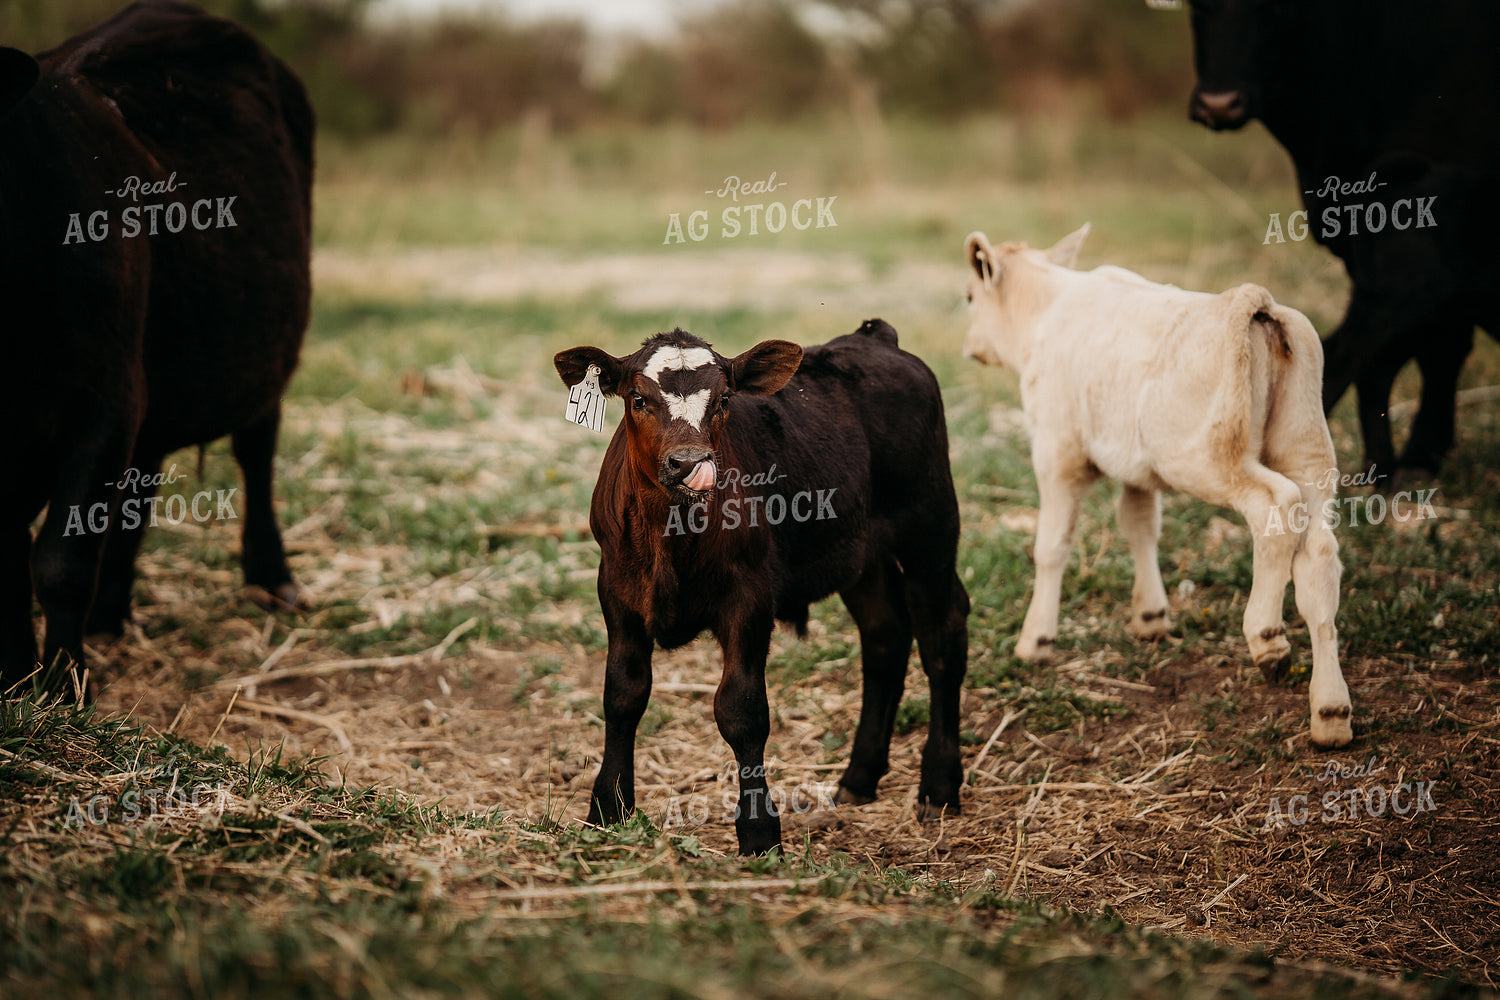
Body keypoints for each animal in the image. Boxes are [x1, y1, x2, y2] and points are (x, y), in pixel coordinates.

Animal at [0, 0, 312, 696]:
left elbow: (60, 559)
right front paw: (14, 676)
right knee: (137, 495)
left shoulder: (106, 397)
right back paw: (110, 614)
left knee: (257, 453)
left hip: (263, 356)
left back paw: (272, 580)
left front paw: (62, 688)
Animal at [554, 320, 971, 854]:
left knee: (941, 635)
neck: (673, 535)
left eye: (724, 399)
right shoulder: (617, 590)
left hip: (929, 523)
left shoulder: (749, 596)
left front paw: (759, 832)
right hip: (861, 552)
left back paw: (939, 786)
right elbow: (623, 694)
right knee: (885, 635)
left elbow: (741, 709)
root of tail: (874, 338)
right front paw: (607, 809)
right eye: (638, 399)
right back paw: (859, 777)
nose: (689, 463)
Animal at [962, 224, 1353, 748]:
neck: (1046, 310)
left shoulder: (1056, 452)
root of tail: (1254, 304)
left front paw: (1035, 640)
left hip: (1213, 460)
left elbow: (1052, 546)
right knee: (1318, 556)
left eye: (969, 296)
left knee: (1275, 509)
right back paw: (1330, 711)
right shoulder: (1136, 468)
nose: (970, 346)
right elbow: (1139, 525)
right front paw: (1151, 617)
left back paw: (1266, 636)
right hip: (1307, 449)